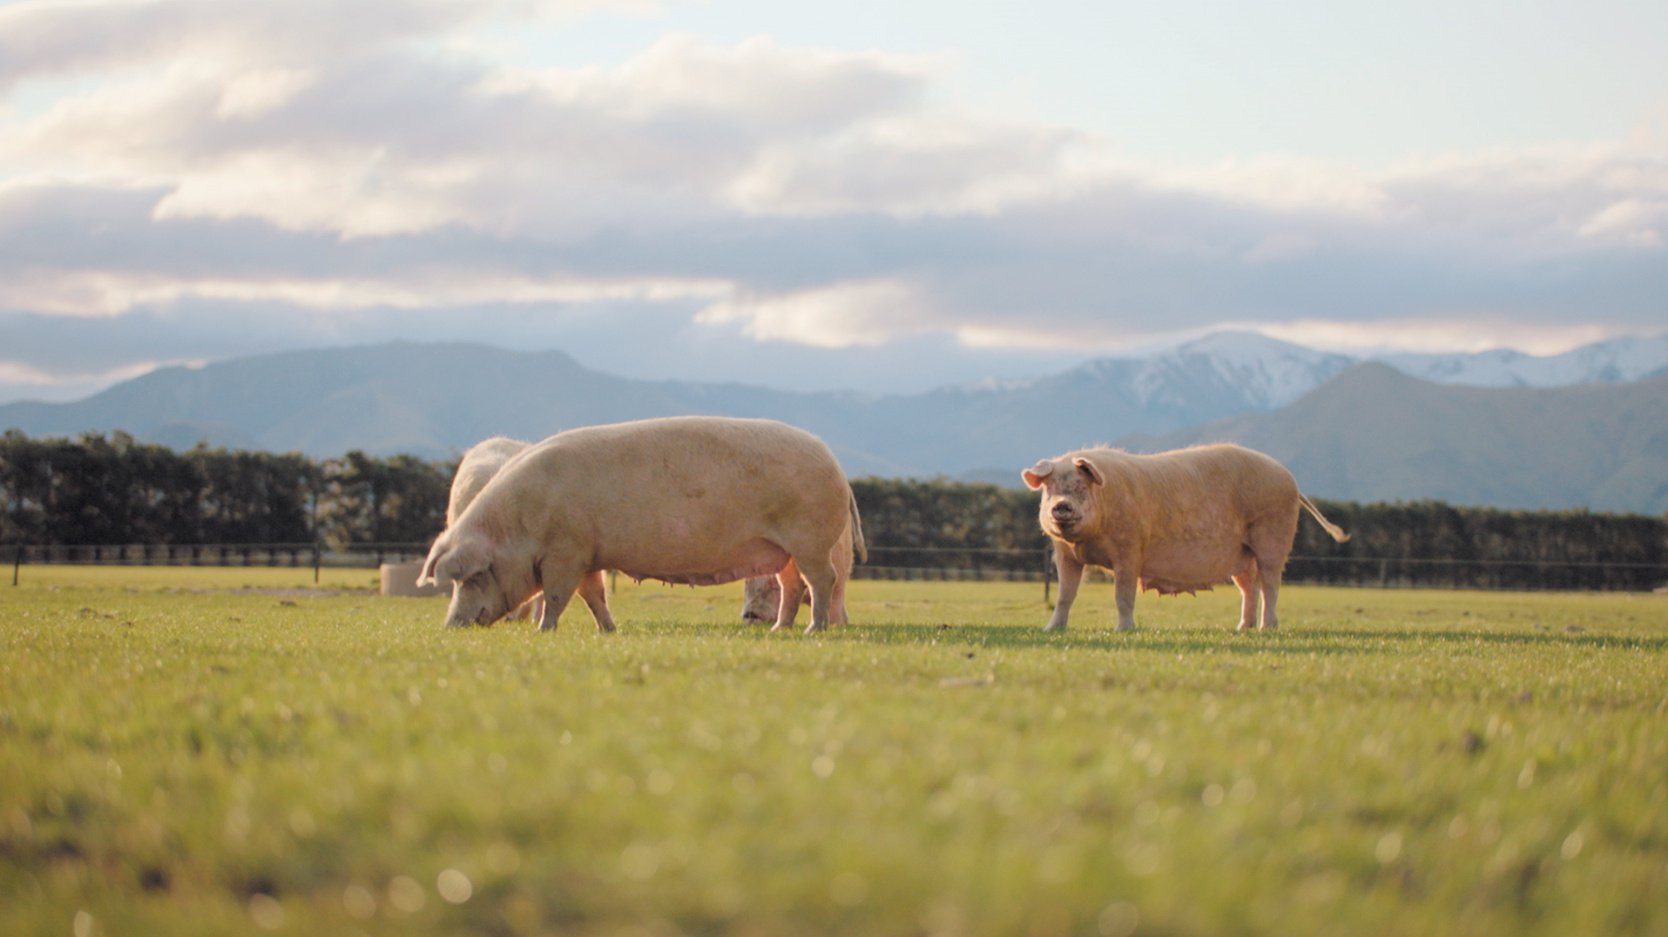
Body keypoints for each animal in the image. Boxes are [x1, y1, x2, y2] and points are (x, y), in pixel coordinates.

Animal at [417, 416, 867, 630]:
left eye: (474, 576)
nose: (450, 625)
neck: (519, 526)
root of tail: (839, 471)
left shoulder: (566, 551)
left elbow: (558, 595)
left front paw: (544, 630)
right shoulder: (588, 553)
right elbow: (594, 595)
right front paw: (608, 631)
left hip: (810, 539)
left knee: (822, 582)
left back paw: (814, 630)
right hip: (784, 550)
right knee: (793, 586)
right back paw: (779, 630)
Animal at [1020, 440, 1347, 630]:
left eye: (1081, 486)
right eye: (1050, 488)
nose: (1061, 506)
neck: (1090, 540)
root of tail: (1291, 480)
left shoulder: (1130, 548)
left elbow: (1122, 594)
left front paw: (1124, 630)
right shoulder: (1066, 555)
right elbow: (1065, 595)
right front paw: (1051, 630)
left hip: (1273, 539)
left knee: (1271, 585)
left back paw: (1268, 628)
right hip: (1242, 555)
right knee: (1250, 588)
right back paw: (1242, 629)